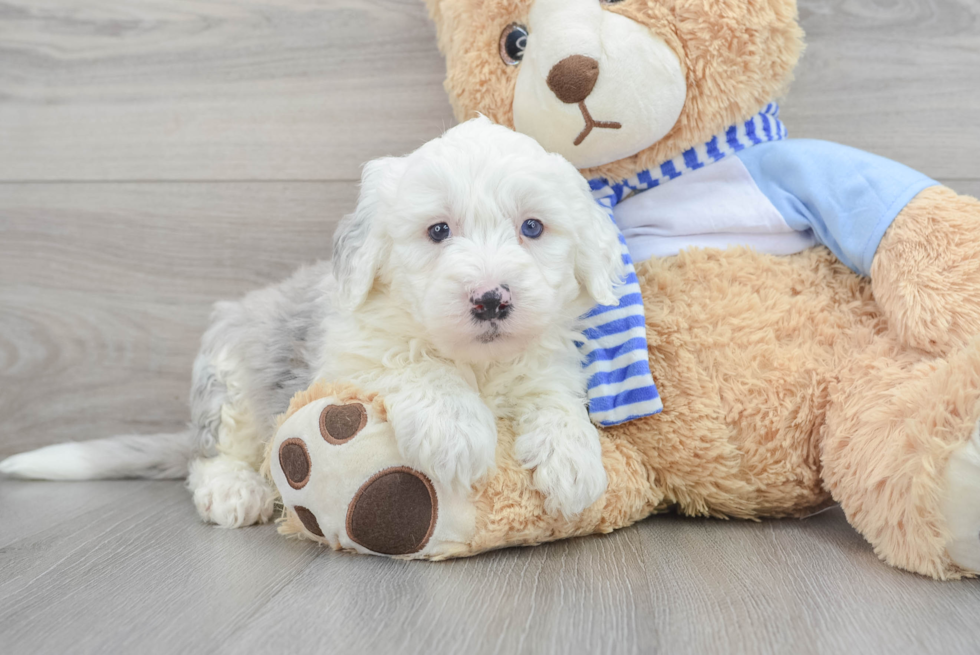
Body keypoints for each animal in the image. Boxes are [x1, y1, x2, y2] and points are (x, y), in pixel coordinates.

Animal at [0, 119, 624, 528]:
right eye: (439, 231)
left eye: (533, 227)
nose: (491, 300)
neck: (477, 362)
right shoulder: (349, 358)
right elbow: (413, 360)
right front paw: (454, 429)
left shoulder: (547, 364)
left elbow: (554, 402)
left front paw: (574, 465)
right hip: (230, 377)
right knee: (211, 454)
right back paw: (234, 491)